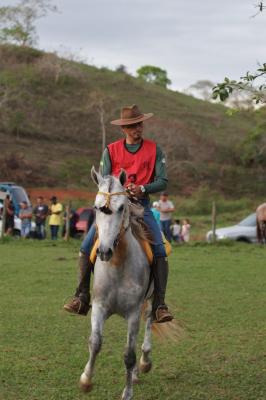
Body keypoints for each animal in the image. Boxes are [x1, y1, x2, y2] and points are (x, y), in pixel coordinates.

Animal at [78, 167, 172, 398]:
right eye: (96, 207)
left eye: (121, 207)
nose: (104, 251)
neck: (118, 264)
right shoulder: (99, 307)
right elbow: (95, 343)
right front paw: (86, 381)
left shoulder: (133, 313)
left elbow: (129, 355)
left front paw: (127, 392)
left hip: (150, 301)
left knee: (149, 323)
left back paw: (144, 363)